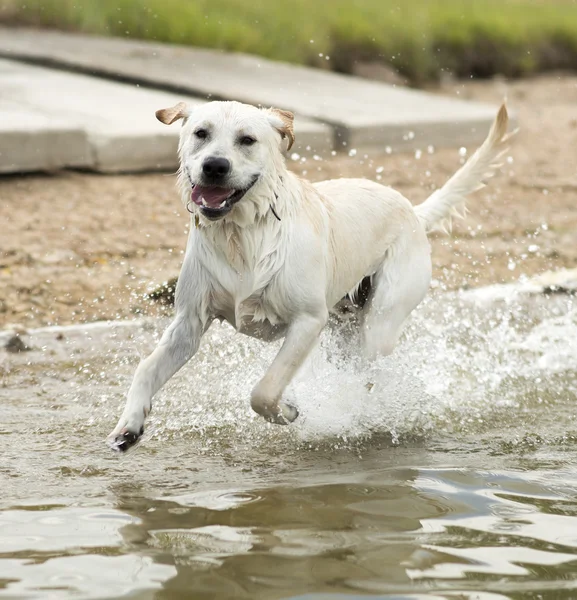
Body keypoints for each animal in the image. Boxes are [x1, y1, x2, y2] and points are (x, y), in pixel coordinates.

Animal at [107, 98, 508, 450]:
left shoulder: (308, 321)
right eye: (201, 133)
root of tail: (411, 209)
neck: (242, 235)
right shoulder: (188, 323)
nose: (215, 166)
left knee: (368, 375)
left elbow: (264, 390)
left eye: (247, 140)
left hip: (380, 323)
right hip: (343, 328)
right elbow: (146, 368)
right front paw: (129, 425)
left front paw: (289, 410)